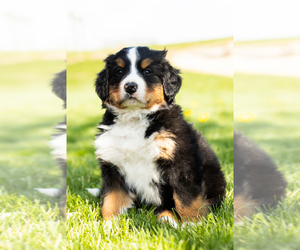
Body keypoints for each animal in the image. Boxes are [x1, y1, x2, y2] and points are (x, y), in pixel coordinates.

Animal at [94, 47, 225, 227]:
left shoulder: (181, 162)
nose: (130, 87)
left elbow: (187, 198)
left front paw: (192, 225)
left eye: (147, 71)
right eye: (119, 71)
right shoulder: (112, 165)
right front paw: (109, 225)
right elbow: (111, 199)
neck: (135, 118)